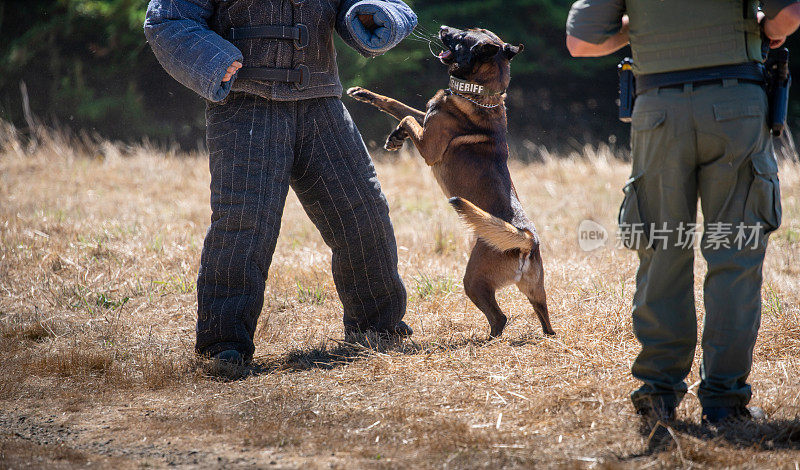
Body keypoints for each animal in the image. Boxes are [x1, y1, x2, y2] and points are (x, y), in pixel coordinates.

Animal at [346, 24, 552, 338]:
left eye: (464, 37)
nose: (443, 28)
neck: (478, 94)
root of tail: (527, 238)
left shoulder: (429, 146)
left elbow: (406, 118)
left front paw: (396, 135)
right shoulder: (427, 119)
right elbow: (398, 105)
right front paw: (366, 96)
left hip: (474, 281)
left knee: (500, 318)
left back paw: (486, 341)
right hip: (535, 291)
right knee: (545, 320)